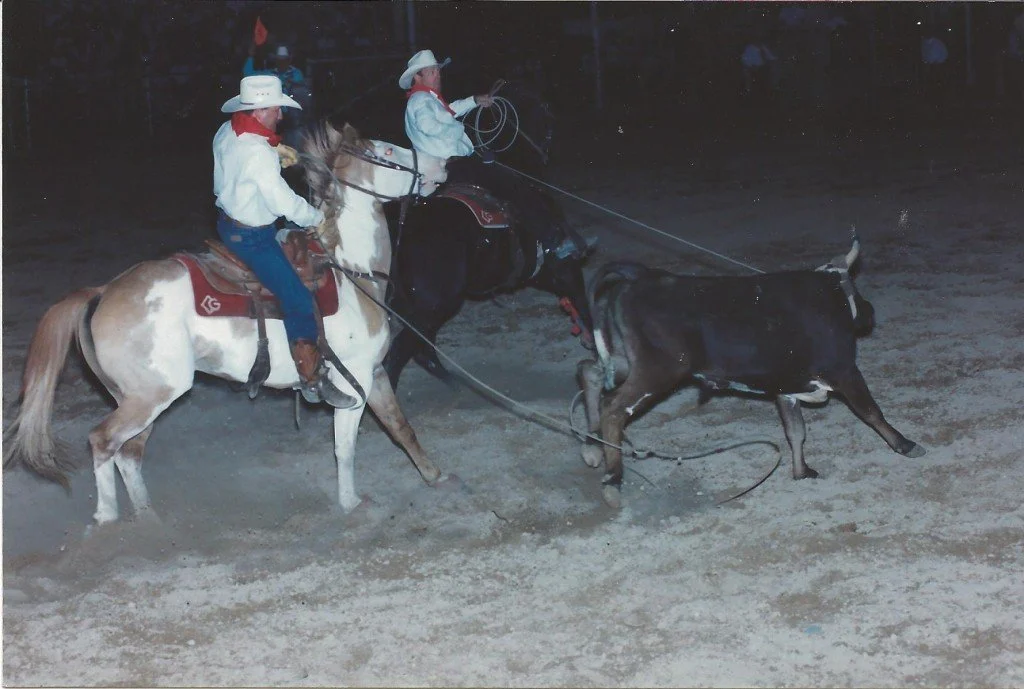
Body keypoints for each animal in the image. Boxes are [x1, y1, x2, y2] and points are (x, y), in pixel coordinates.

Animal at [3, 122, 449, 526]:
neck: (351, 273)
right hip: (153, 395)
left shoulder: (373, 373)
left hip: (138, 397)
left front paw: (434, 475)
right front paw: (351, 503)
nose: (438, 165)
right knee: (103, 442)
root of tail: (102, 291)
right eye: (387, 150)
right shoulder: (352, 379)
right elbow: (345, 447)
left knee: (128, 452)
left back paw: (148, 520)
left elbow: (400, 426)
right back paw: (109, 520)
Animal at [575, 235, 926, 508]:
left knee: (589, 372)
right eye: (853, 285)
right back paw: (612, 478)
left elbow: (796, 432)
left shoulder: (787, 388)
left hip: (625, 361)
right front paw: (906, 444)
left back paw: (593, 444)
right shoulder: (844, 370)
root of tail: (641, 275)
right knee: (613, 407)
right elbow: (870, 410)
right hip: (658, 370)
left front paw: (801, 471)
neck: (827, 296)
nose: (869, 312)